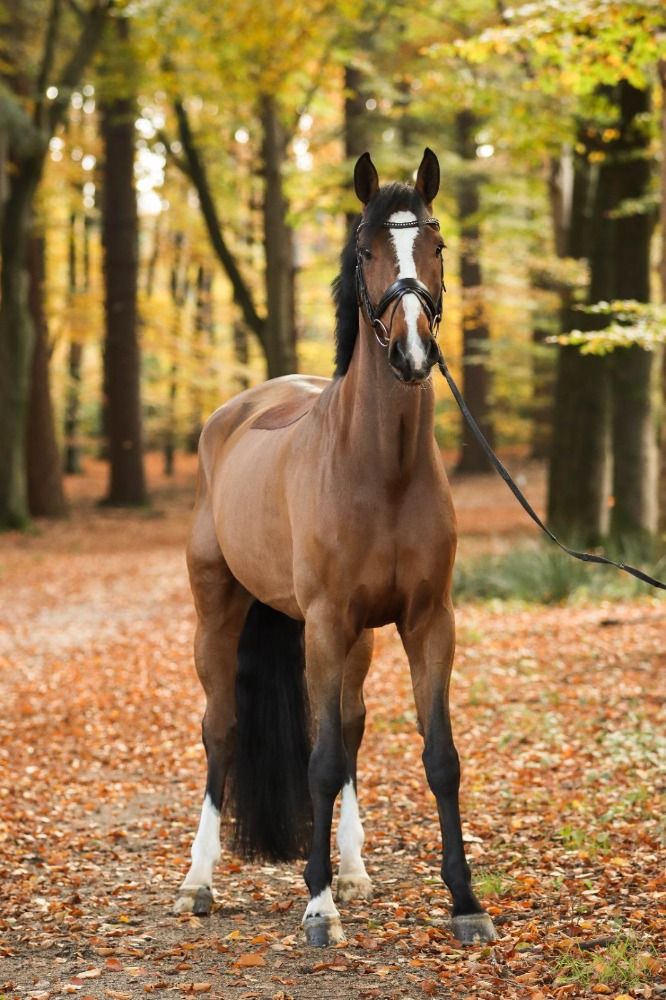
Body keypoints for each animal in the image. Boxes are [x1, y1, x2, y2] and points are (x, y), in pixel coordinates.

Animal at [173, 148, 497, 948]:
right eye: (365, 251)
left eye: (437, 244)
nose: (413, 351)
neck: (381, 468)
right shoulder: (323, 623)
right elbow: (318, 762)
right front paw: (317, 906)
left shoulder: (426, 622)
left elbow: (438, 757)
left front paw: (464, 902)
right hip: (218, 617)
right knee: (221, 730)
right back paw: (198, 881)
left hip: (359, 639)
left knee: (348, 727)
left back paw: (352, 870)